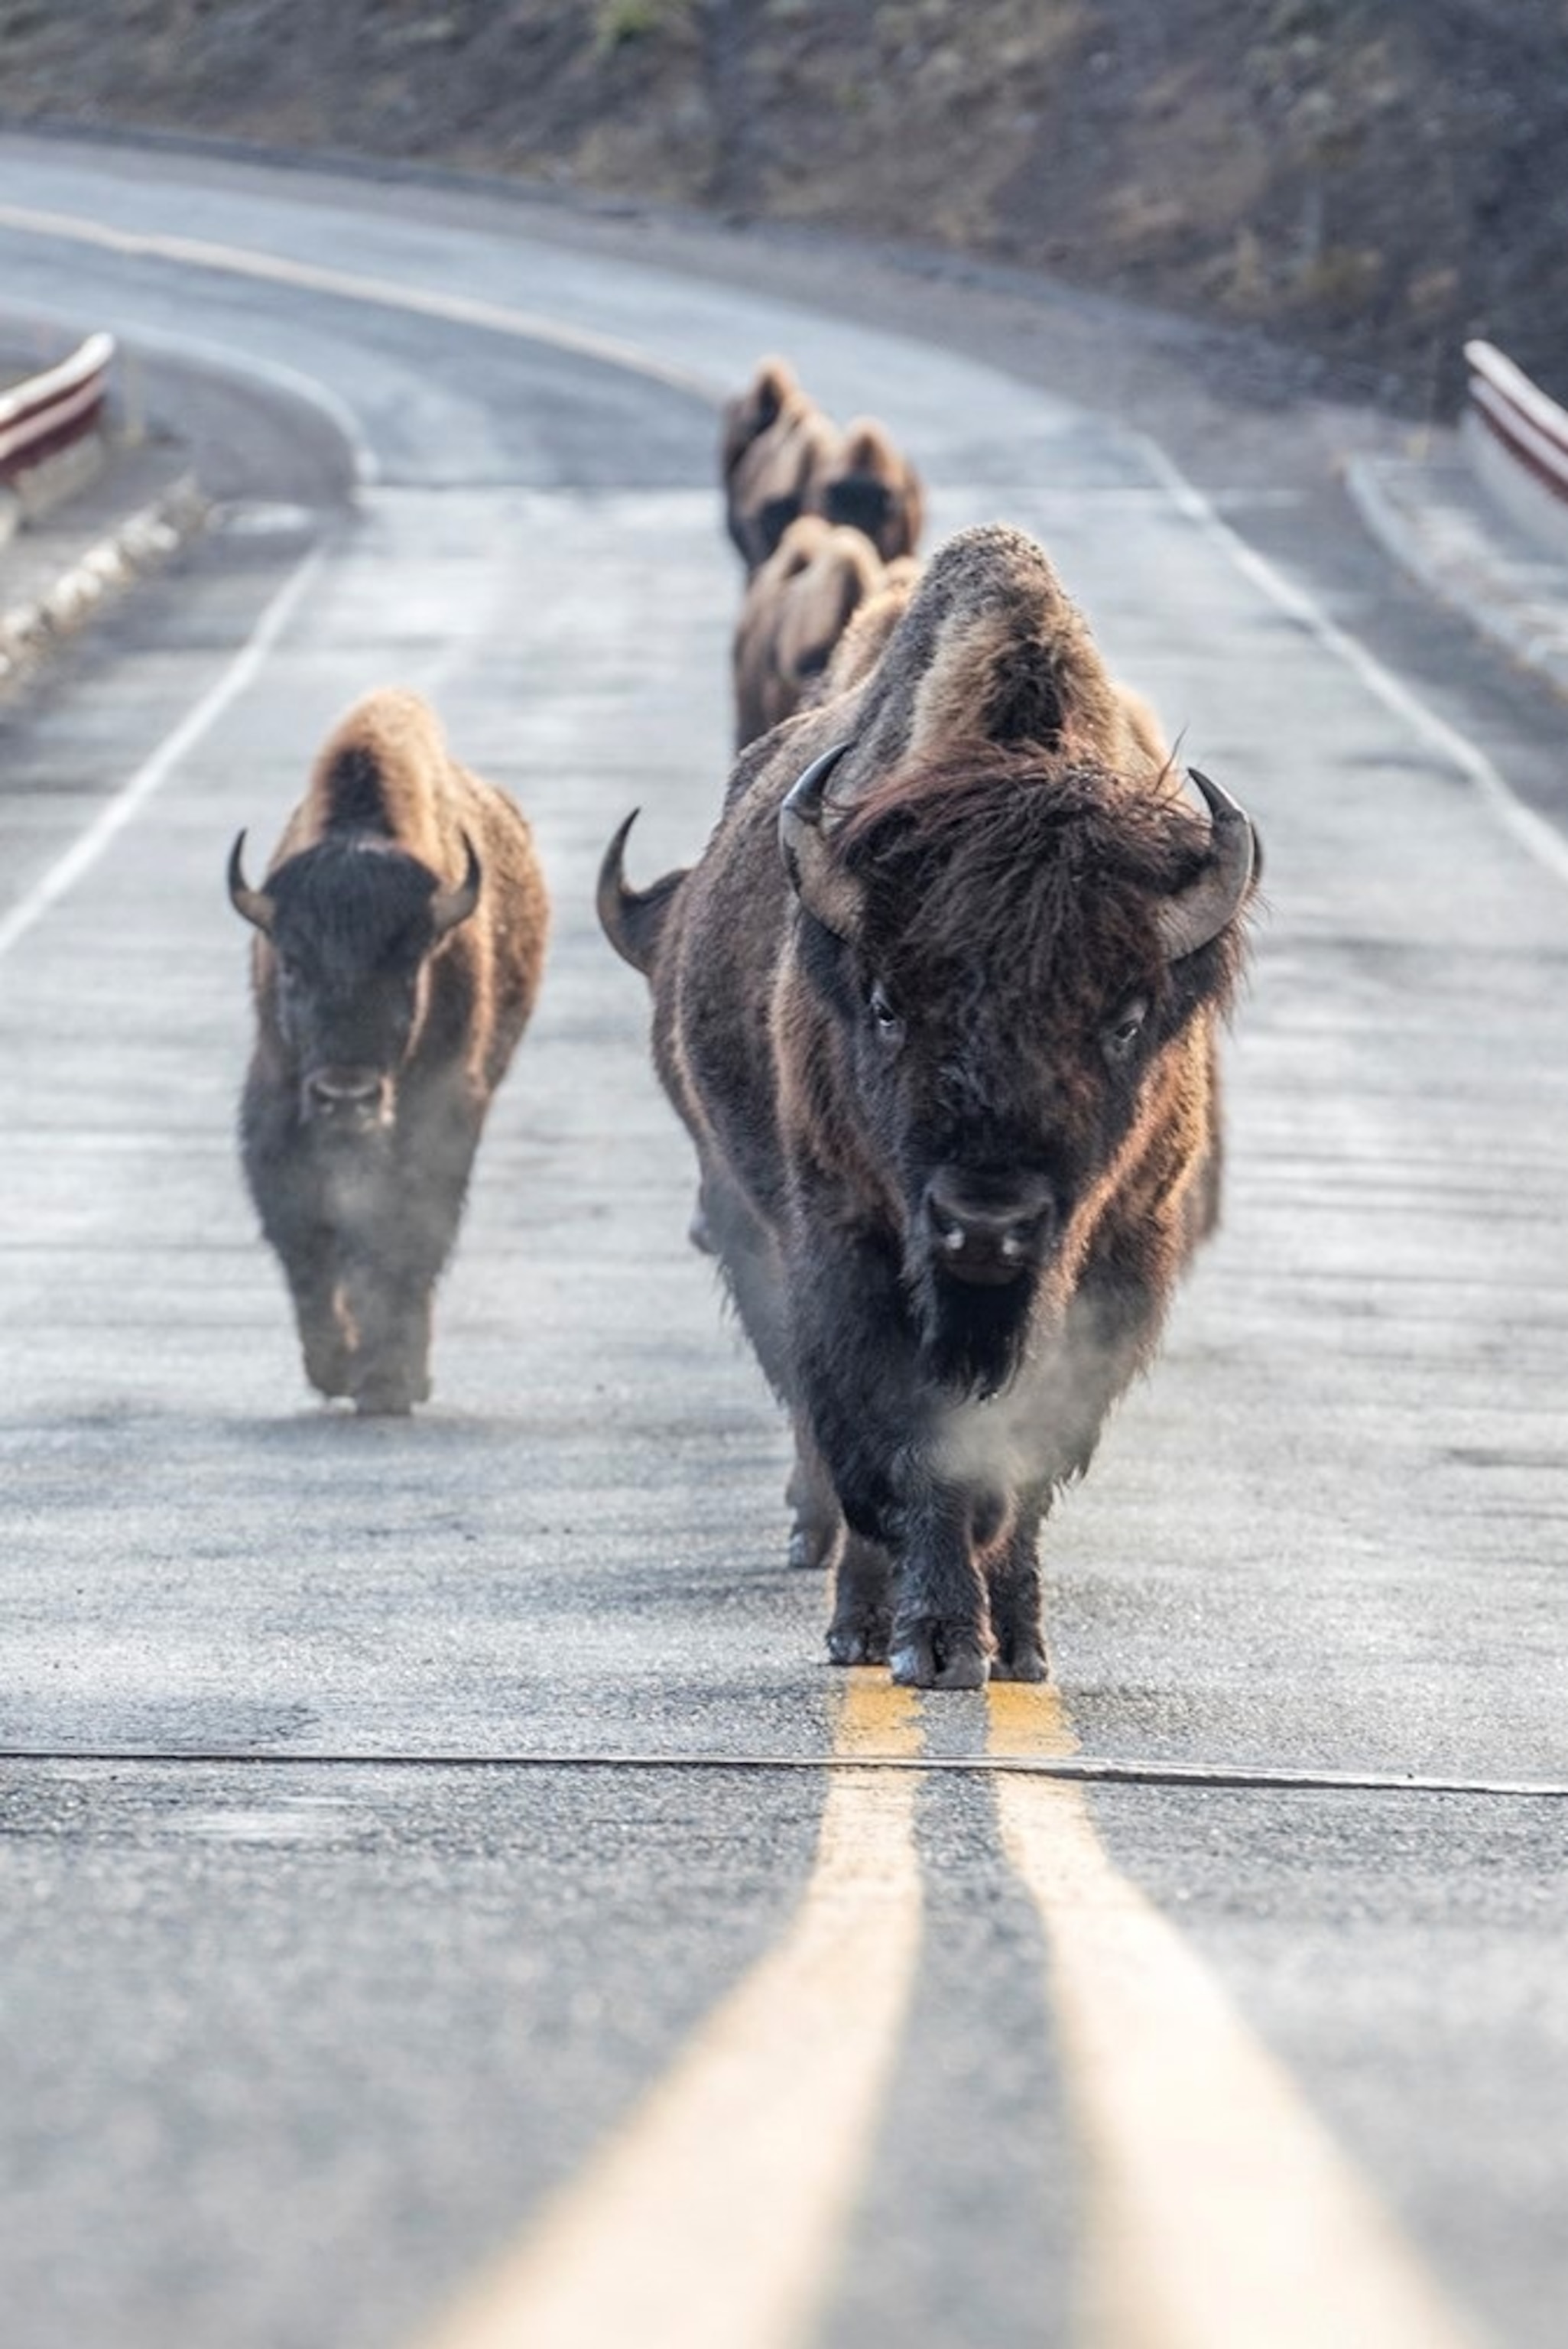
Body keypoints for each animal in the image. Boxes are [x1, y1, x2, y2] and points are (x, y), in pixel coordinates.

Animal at [229, 687, 549, 1414]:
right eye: (291, 964)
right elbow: (307, 1234)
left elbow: (404, 1237)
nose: (345, 1094)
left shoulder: (441, 1110)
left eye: (409, 966)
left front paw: (385, 1382)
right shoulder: (278, 1097)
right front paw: (334, 1369)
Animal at [599, 524, 1257, 1688]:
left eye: (1126, 1018)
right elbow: (907, 1451)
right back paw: (862, 1626)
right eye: (884, 1005)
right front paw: (934, 1641)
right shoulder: (846, 1248)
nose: (984, 1223)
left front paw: (1020, 1645)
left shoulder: (1113, 1262)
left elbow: (1023, 1461)